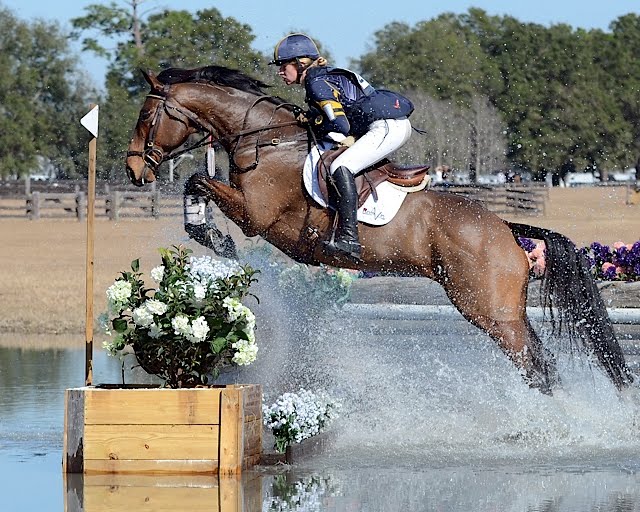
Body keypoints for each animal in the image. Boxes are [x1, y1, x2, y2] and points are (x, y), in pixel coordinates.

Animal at [125, 65, 634, 394]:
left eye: (147, 118)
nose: (133, 170)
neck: (266, 139)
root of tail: (505, 227)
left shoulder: (256, 215)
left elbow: (197, 181)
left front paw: (214, 237)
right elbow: (195, 183)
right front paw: (207, 233)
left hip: (488, 311)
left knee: (538, 366)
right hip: (504, 309)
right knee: (540, 363)